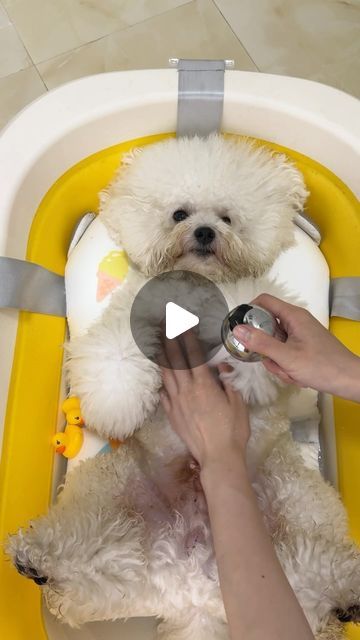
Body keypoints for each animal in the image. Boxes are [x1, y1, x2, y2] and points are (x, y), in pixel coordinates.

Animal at [7, 132, 360, 636]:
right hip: (118, 505)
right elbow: (117, 356)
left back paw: (345, 596)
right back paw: (40, 561)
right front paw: (119, 402)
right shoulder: (133, 317)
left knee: (312, 572)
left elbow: (254, 341)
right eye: (179, 214)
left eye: (227, 217)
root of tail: (195, 588)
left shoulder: (259, 311)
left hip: (298, 499)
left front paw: (246, 374)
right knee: (97, 561)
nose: (205, 232)